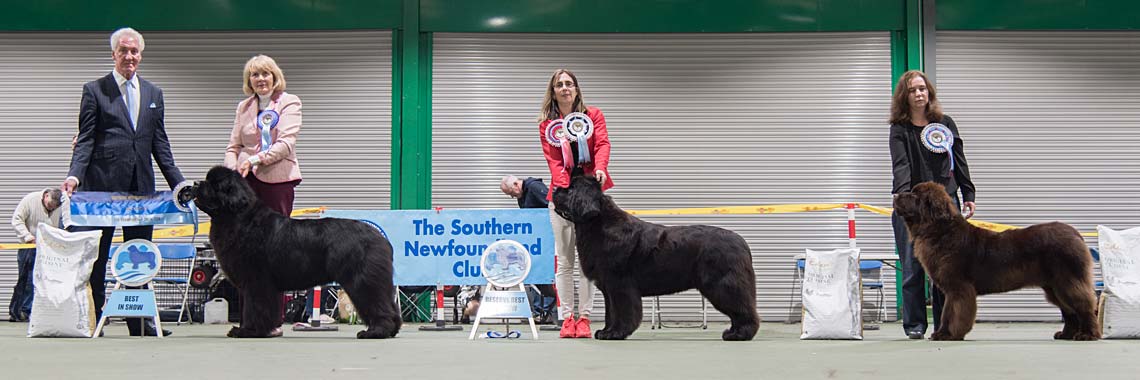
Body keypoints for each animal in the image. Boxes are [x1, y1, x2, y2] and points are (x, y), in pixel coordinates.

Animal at [186, 165, 401, 337]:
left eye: (214, 184)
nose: (195, 183)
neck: (239, 218)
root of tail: (380, 238)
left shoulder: (257, 281)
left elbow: (255, 308)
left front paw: (249, 331)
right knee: (389, 305)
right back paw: (391, 330)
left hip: (361, 280)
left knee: (376, 303)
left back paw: (375, 332)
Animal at [549, 173, 756, 337]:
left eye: (570, 189)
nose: (555, 190)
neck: (598, 224)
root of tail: (742, 242)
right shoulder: (609, 288)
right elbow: (611, 312)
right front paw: (605, 331)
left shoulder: (619, 284)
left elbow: (621, 311)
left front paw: (616, 333)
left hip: (722, 284)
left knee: (742, 308)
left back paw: (740, 334)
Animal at [893, 180, 1098, 340]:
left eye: (914, 195)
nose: (895, 195)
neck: (940, 231)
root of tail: (1076, 234)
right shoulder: (952, 288)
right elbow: (947, 313)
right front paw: (943, 333)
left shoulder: (958, 287)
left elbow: (952, 312)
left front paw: (948, 335)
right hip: (1054, 286)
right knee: (1069, 310)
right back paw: (1066, 334)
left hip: (1067, 281)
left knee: (1084, 305)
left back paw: (1088, 334)